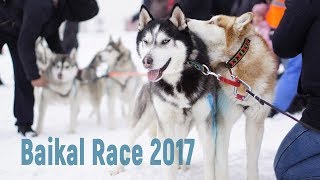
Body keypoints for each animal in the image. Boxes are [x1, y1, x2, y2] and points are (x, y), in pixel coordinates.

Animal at [111, 4, 216, 179]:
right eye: (146, 41)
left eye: (165, 41)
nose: (146, 61)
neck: (177, 82)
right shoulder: (165, 122)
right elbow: (169, 161)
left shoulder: (204, 121)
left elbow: (209, 161)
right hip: (144, 118)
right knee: (130, 139)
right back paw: (117, 168)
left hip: (184, 125)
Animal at [188, 12, 278, 179]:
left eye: (212, 22)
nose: (187, 19)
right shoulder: (223, 122)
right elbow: (221, 162)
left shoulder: (255, 121)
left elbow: (252, 162)